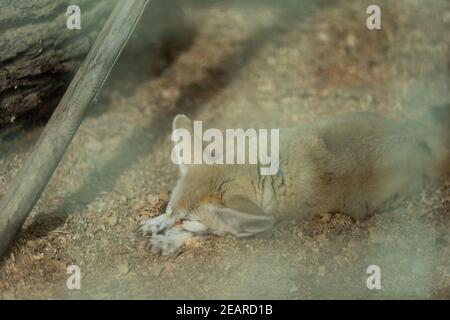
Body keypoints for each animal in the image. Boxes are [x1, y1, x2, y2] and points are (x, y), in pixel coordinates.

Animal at [141, 105, 450, 255]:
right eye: (169, 208)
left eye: (189, 221)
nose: (164, 226)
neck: (258, 170)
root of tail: (413, 137)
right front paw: (156, 223)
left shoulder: (262, 222)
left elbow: (208, 234)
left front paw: (170, 241)